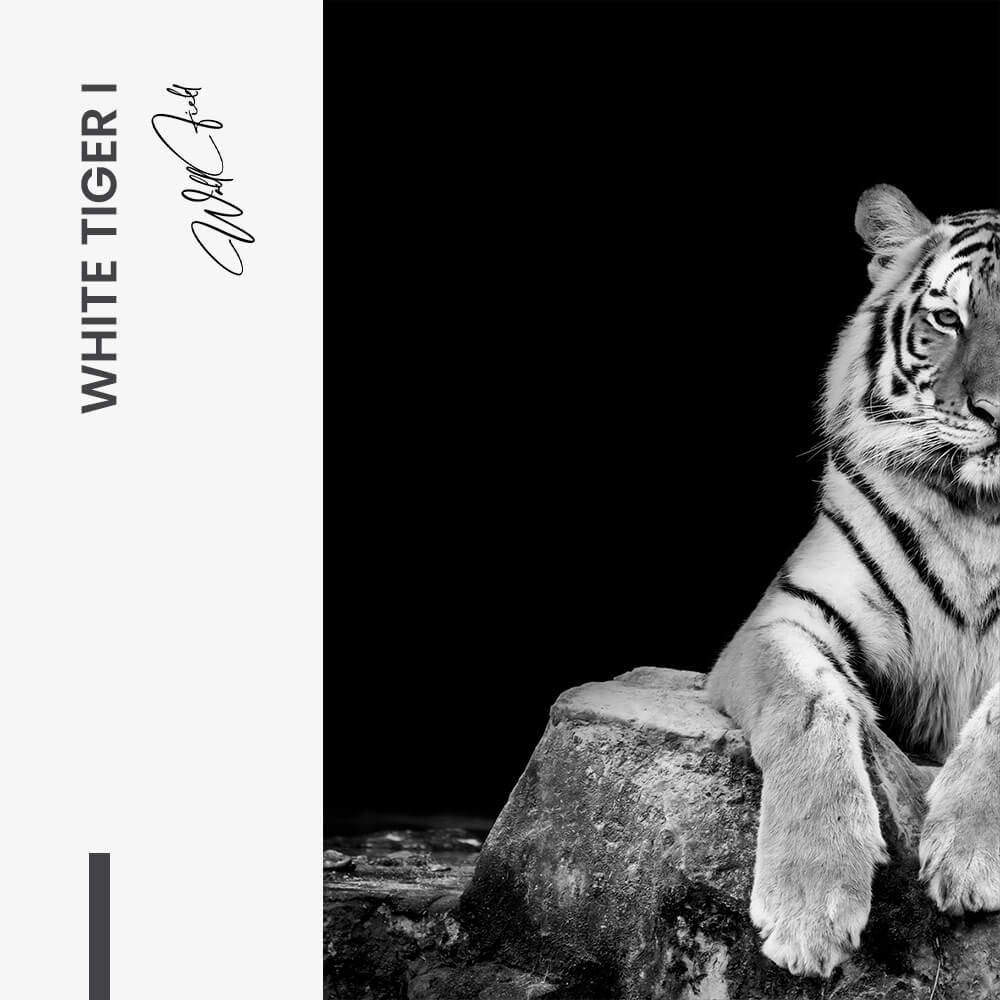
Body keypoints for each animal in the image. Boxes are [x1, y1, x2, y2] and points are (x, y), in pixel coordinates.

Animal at [706, 184, 1000, 977]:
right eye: (947, 318)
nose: (996, 412)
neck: (986, 515)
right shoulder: (786, 614)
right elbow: (809, 703)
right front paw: (809, 903)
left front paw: (969, 854)